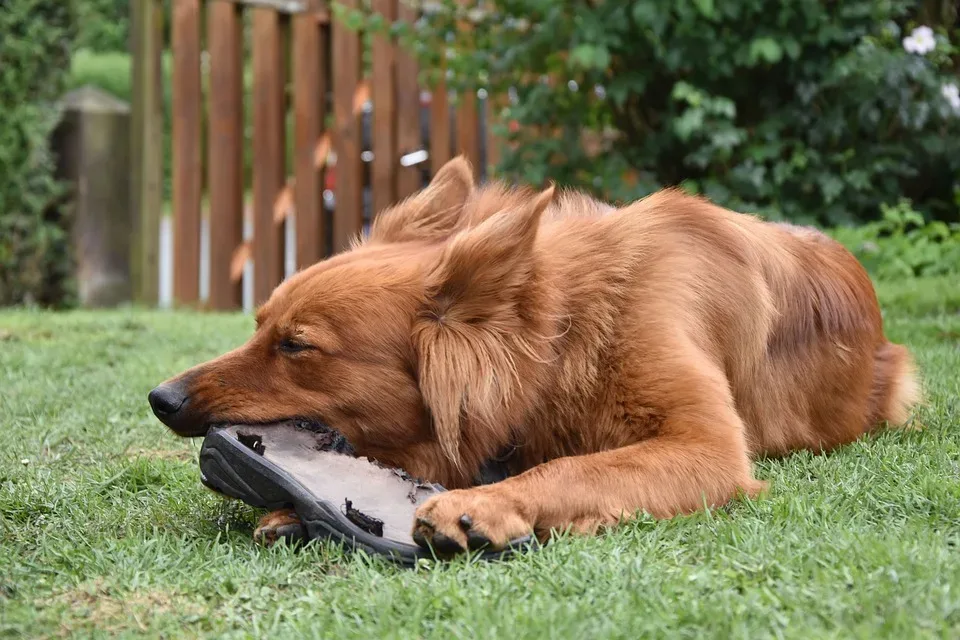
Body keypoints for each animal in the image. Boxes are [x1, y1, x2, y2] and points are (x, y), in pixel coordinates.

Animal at [150, 156, 924, 556]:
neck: (566, 330)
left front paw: (488, 505)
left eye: (296, 345)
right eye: (258, 326)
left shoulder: (707, 445)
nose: (162, 398)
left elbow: (575, 467)